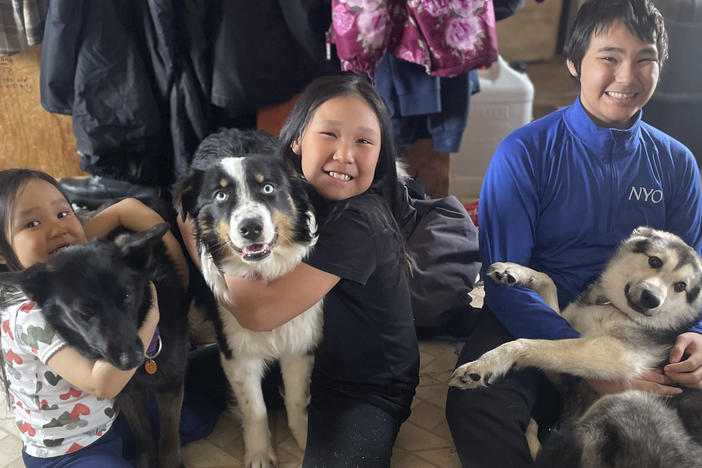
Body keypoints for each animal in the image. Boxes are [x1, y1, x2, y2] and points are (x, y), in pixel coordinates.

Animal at [175, 129, 322, 468]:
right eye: (220, 196)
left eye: (268, 188)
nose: (250, 228)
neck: (262, 276)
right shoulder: (237, 351)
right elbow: (254, 408)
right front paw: (259, 453)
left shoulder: (300, 340)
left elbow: (297, 400)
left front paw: (306, 441)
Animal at [454, 226, 702, 464]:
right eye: (655, 261)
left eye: (681, 286)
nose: (652, 299)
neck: (613, 308)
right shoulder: (565, 338)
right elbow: (549, 284)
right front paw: (515, 271)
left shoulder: (616, 354)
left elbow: (530, 344)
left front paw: (487, 363)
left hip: (626, 399)